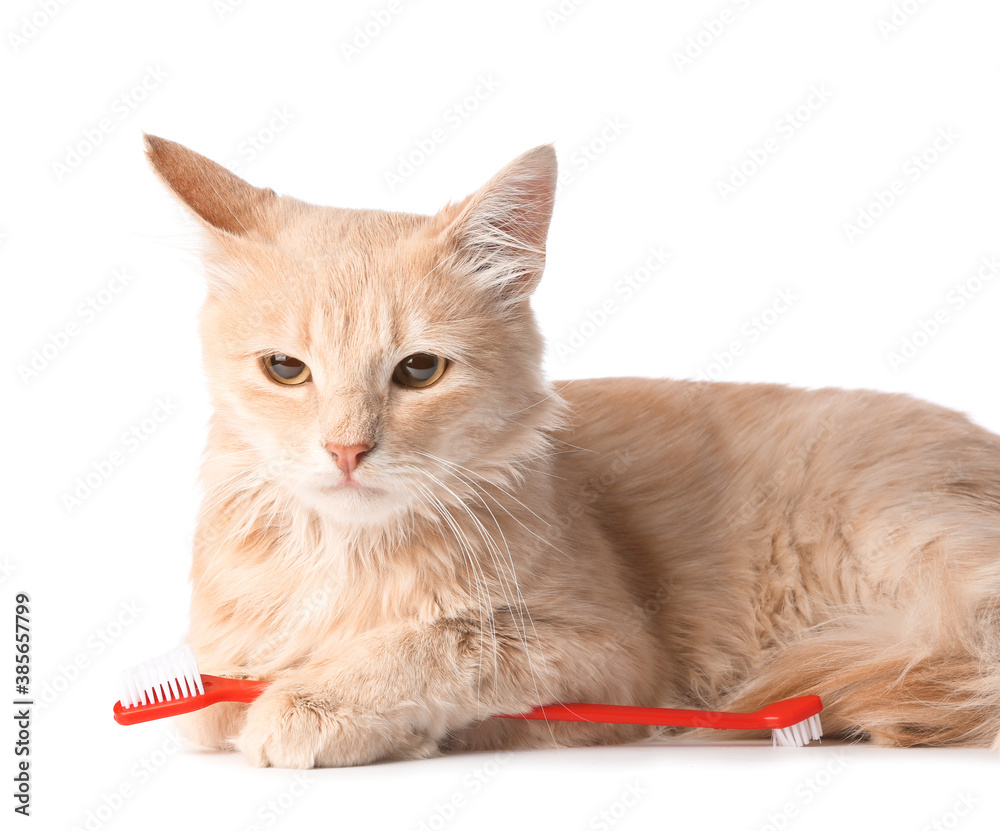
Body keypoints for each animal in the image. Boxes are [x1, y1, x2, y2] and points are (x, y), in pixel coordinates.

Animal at [143, 135, 1000, 768]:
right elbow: (213, 709)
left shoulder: (613, 653)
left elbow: (438, 644)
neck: (349, 556)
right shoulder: (213, 667)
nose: (347, 449)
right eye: (285, 369)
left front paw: (324, 703)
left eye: (418, 371)